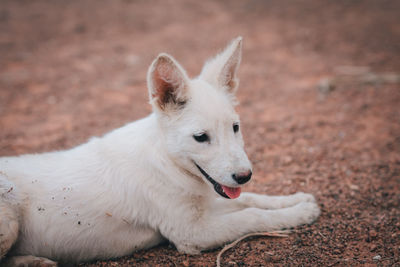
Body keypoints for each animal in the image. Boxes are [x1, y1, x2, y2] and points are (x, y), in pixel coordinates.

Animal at [0, 37, 318, 266]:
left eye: (235, 127)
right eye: (201, 137)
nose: (244, 175)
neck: (167, 162)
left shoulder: (205, 206)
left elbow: (252, 200)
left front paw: (296, 200)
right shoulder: (191, 233)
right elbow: (251, 216)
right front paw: (299, 213)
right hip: (9, 220)